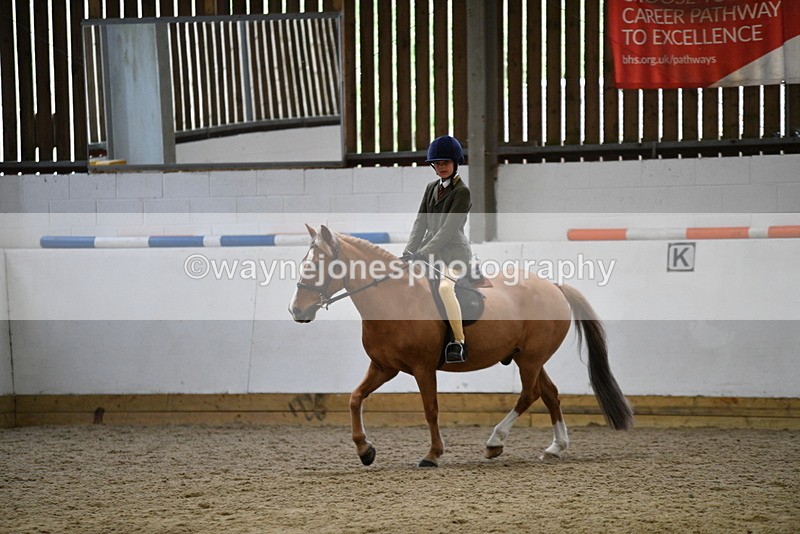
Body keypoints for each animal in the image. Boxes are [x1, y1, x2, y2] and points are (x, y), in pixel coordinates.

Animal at [289, 224, 634, 467]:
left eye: (318, 265)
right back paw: (555, 448)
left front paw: (433, 455)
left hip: (531, 359)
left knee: (530, 393)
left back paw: (495, 441)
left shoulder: (423, 368)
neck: (395, 298)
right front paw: (365, 450)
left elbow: (430, 410)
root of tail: (553, 286)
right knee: (549, 393)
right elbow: (354, 398)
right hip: (530, 358)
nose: (296, 310)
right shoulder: (384, 367)